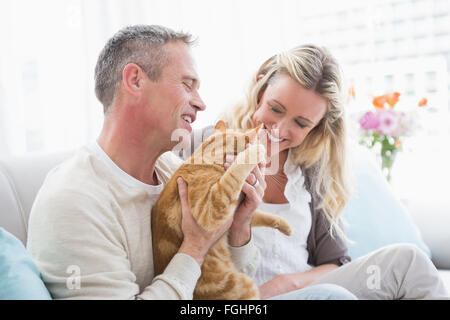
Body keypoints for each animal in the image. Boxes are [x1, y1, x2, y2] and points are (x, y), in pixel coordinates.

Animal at [151, 120, 292, 300]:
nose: (266, 164)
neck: (205, 156)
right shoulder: (211, 210)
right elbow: (235, 172)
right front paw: (255, 151)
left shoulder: (234, 212)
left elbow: (258, 216)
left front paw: (285, 226)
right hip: (246, 286)